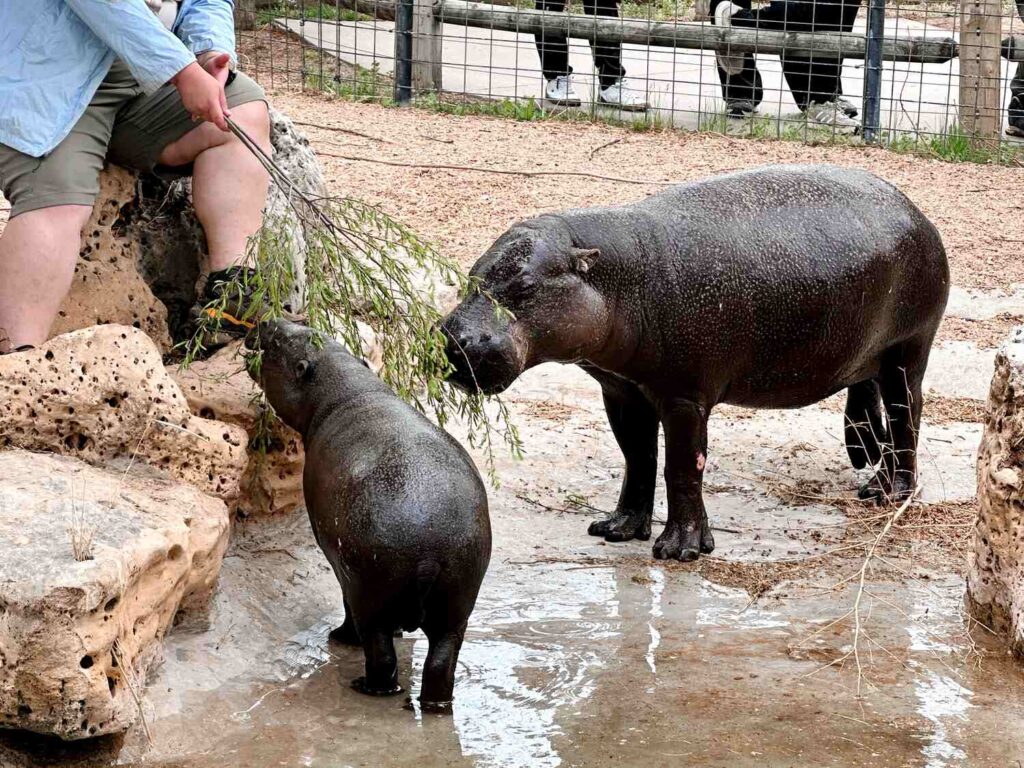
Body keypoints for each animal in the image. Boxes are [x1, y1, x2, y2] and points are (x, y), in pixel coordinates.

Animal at [247, 319, 491, 710]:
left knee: (380, 653)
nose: (270, 321)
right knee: (441, 663)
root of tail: (430, 554)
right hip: (457, 603)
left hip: (370, 594)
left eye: (281, 342)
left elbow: (346, 602)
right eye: (307, 329)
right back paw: (435, 705)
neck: (341, 390)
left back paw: (363, 681)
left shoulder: (341, 565)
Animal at [440, 164, 949, 562]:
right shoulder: (621, 390)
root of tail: (916, 212)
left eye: (525, 288)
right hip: (867, 354)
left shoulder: (684, 396)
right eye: (471, 276)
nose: (453, 342)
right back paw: (865, 464)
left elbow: (683, 467)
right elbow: (637, 457)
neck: (620, 276)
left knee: (906, 417)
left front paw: (678, 550)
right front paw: (616, 528)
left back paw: (888, 493)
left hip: (908, 350)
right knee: (871, 399)